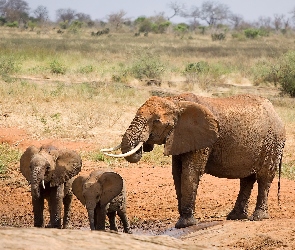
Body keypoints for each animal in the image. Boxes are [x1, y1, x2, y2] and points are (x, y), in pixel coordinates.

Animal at [103, 92, 286, 229]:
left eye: (156, 121)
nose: (143, 146)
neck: (175, 101)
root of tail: (276, 113)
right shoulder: (180, 137)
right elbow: (177, 173)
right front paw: (183, 221)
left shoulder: (203, 139)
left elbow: (190, 172)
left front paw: (185, 224)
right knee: (247, 179)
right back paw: (236, 217)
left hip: (272, 142)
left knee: (264, 177)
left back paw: (258, 217)